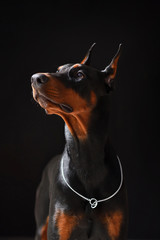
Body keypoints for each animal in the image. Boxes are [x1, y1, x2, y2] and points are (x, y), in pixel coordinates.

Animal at [31, 43, 128, 240]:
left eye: (79, 75)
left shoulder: (116, 232)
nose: (34, 78)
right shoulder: (59, 230)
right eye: (58, 70)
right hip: (41, 226)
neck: (85, 155)